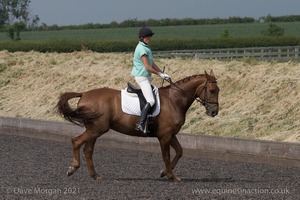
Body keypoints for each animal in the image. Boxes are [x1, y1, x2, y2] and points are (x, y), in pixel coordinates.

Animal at [56, 70, 219, 181]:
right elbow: (166, 155)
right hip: (97, 129)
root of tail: (84, 94)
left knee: (88, 150)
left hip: (94, 130)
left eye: (218, 90)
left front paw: (164, 172)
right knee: (76, 141)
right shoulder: (165, 136)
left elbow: (179, 151)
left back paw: (95, 175)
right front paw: (171, 176)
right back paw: (73, 168)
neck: (174, 100)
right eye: (212, 90)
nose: (214, 112)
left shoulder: (171, 134)